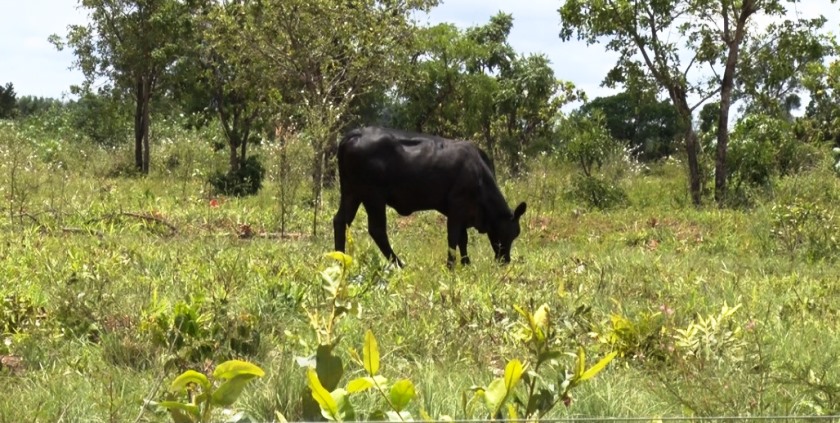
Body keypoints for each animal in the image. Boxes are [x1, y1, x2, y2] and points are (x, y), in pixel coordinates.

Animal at [330, 126, 520, 268]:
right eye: (510, 233)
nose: (505, 260)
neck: (479, 174)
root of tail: (355, 134)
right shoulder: (457, 207)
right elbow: (454, 237)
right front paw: (451, 266)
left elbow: (462, 239)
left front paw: (466, 263)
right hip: (373, 196)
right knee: (377, 229)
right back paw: (399, 264)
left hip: (351, 192)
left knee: (340, 220)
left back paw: (340, 260)